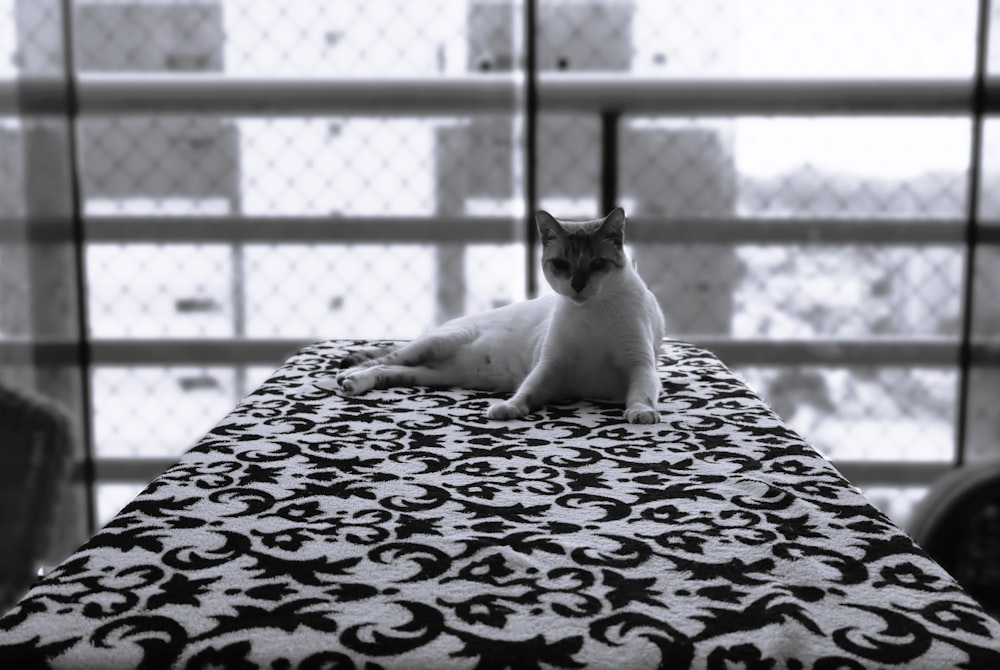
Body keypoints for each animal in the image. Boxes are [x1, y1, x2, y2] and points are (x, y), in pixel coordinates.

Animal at [328, 209, 668, 426]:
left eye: (597, 264)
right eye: (561, 264)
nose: (577, 285)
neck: (591, 312)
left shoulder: (639, 364)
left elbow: (641, 394)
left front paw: (641, 412)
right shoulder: (551, 365)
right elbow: (527, 392)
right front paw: (508, 408)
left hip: (431, 374)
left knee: (390, 368)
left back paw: (354, 382)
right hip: (434, 345)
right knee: (382, 359)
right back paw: (349, 377)